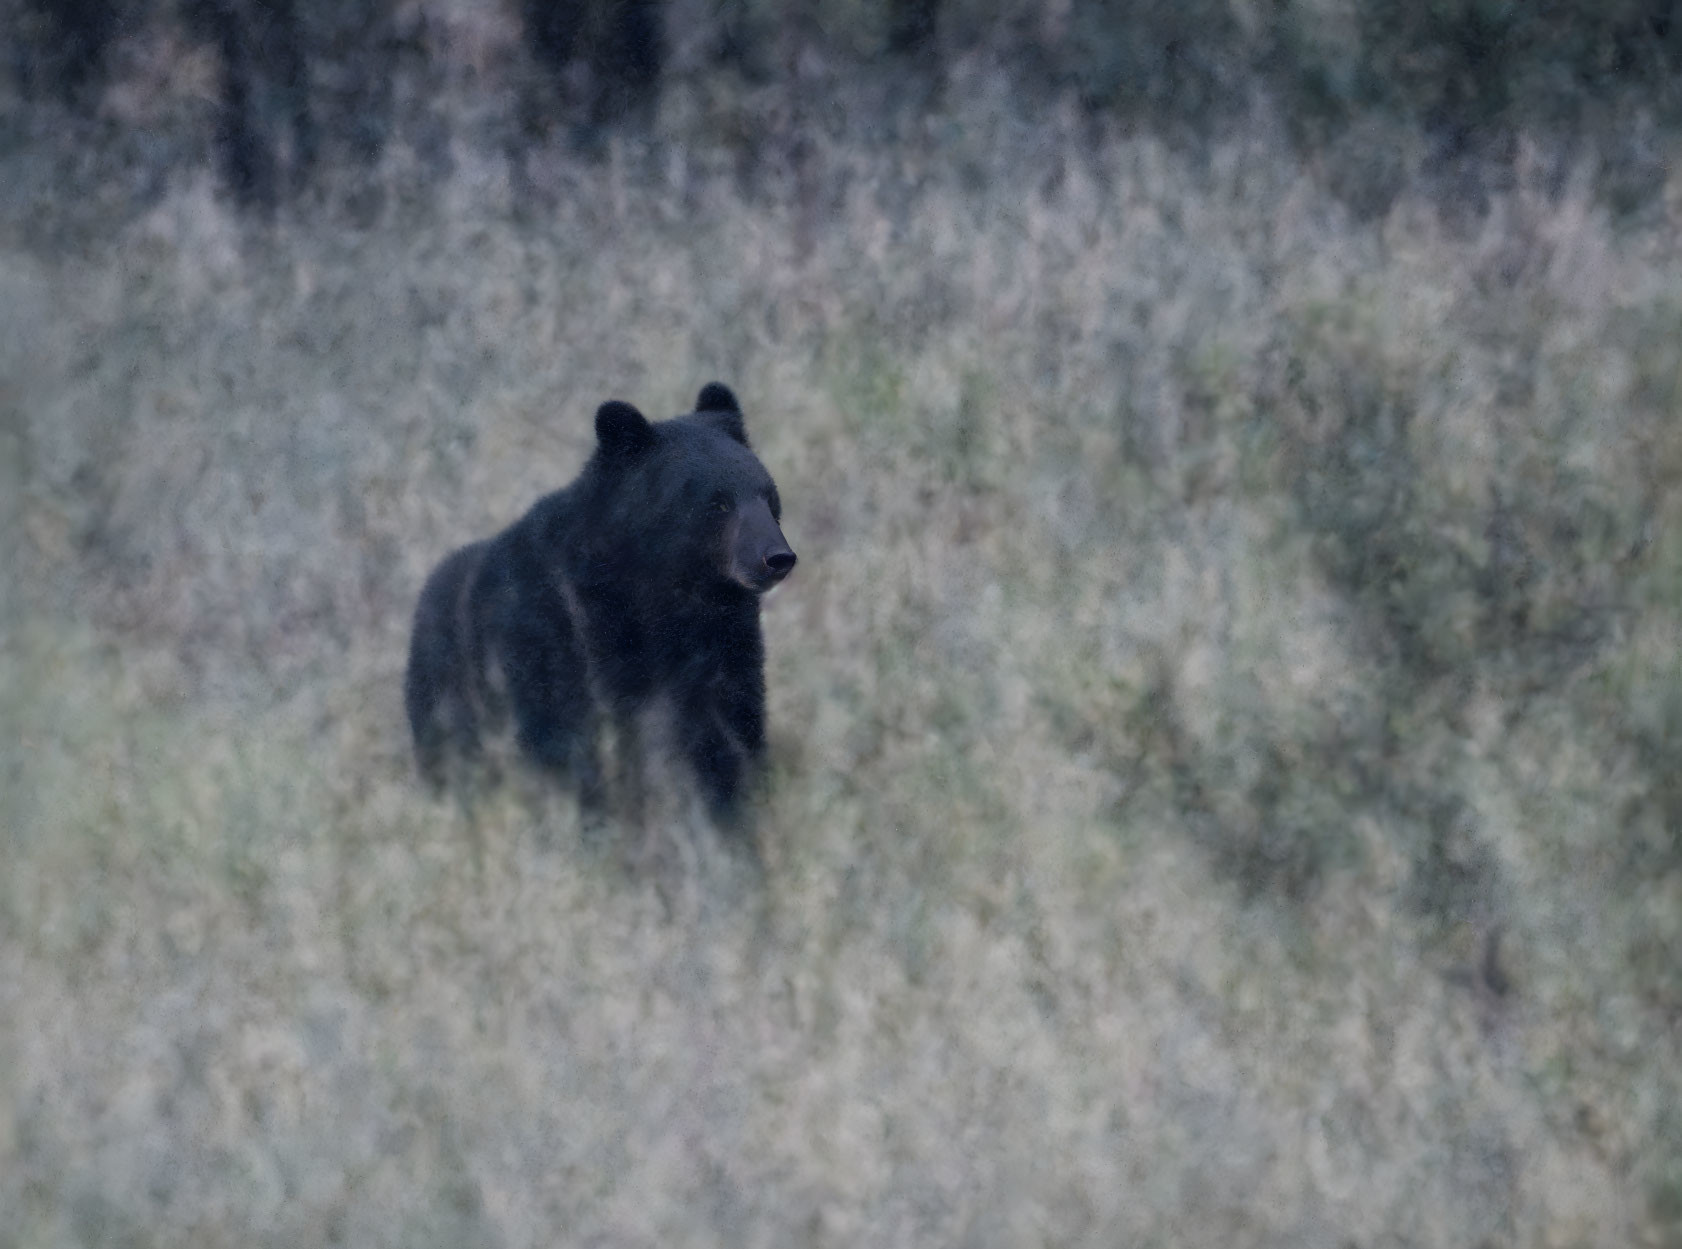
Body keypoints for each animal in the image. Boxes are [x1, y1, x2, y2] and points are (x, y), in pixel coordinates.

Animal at [408, 386, 800, 827]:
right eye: (717, 503)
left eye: (768, 495)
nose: (777, 558)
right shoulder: (562, 635)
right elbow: (567, 736)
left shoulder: (724, 645)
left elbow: (730, 724)